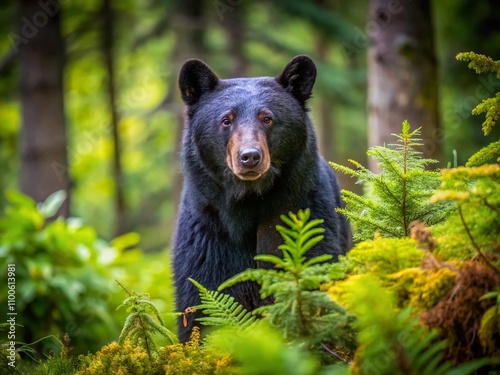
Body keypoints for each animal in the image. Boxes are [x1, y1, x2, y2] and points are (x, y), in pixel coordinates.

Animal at [172, 56, 352, 344]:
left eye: (267, 118)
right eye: (226, 120)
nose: (249, 156)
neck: (247, 202)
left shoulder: (300, 213)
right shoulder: (207, 230)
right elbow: (201, 300)